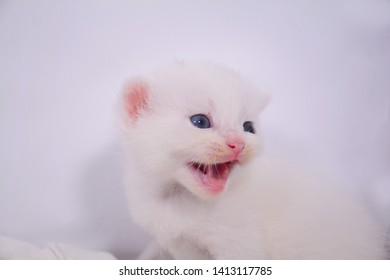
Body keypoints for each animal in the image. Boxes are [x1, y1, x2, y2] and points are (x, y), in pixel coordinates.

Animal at [119, 61, 386, 260]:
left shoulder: (241, 244)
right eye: (200, 121)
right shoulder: (181, 246)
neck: (178, 196)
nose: (239, 144)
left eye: (248, 127)